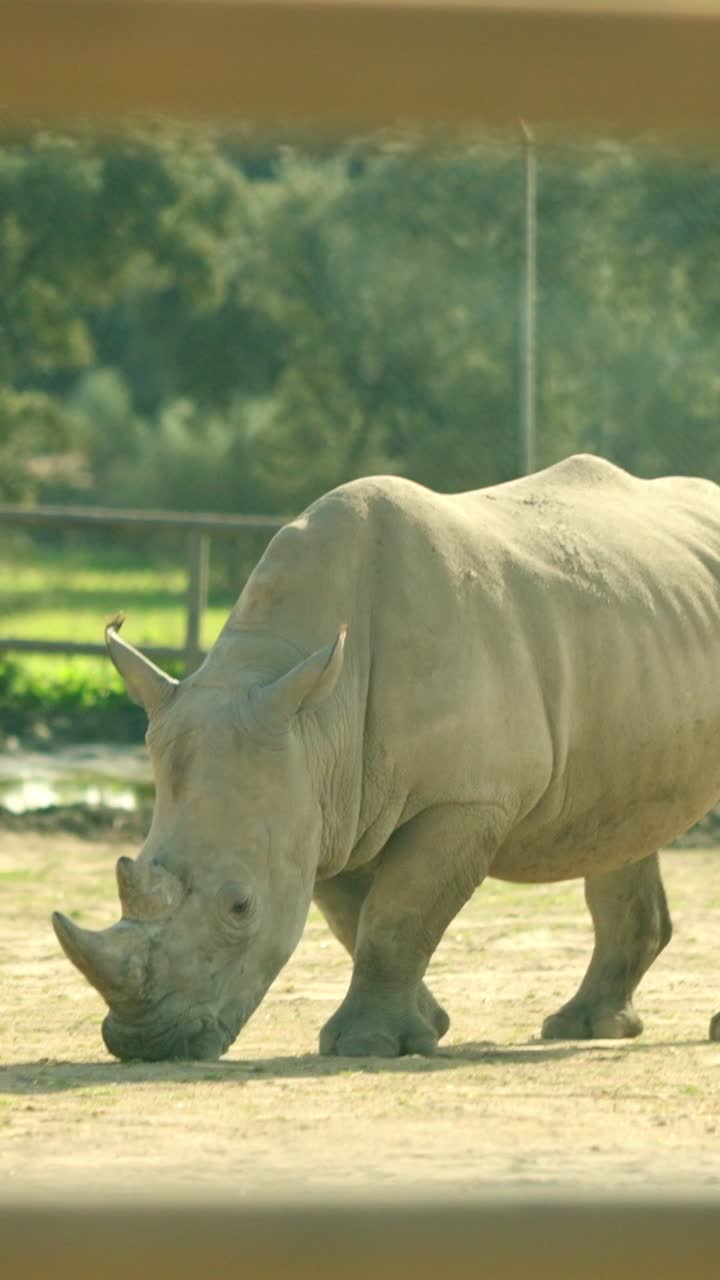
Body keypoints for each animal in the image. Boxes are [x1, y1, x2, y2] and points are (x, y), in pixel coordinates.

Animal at [53, 455, 720, 1059]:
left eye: (241, 907)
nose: (145, 1044)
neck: (315, 716)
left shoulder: (463, 798)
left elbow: (399, 913)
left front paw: (367, 1045)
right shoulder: (322, 799)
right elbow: (356, 919)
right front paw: (427, 1026)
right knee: (622, 823)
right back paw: (583, 1027)